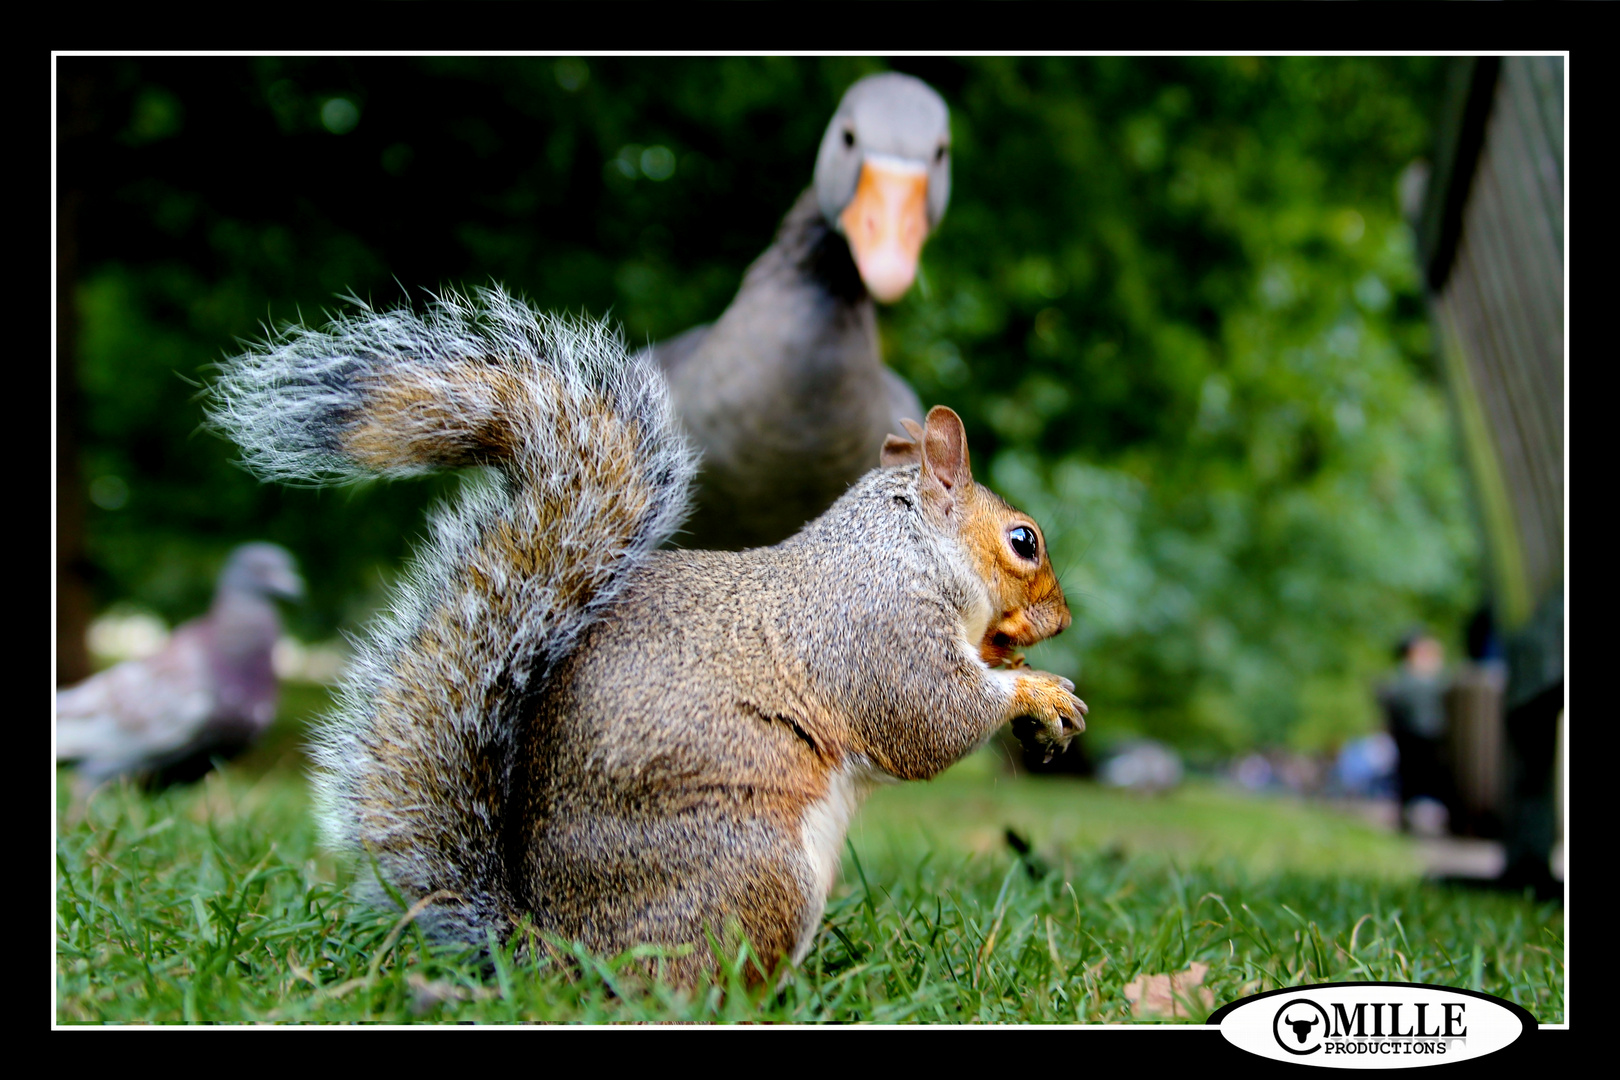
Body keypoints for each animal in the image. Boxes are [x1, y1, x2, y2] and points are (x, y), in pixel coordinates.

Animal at [205, 283, 1088, 984]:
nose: (1064, 619)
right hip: (753, 869)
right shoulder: (876, 630)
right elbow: (928, 720)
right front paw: (1034, 690)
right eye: (1024, 541)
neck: (906, 546)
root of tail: (550, 954)